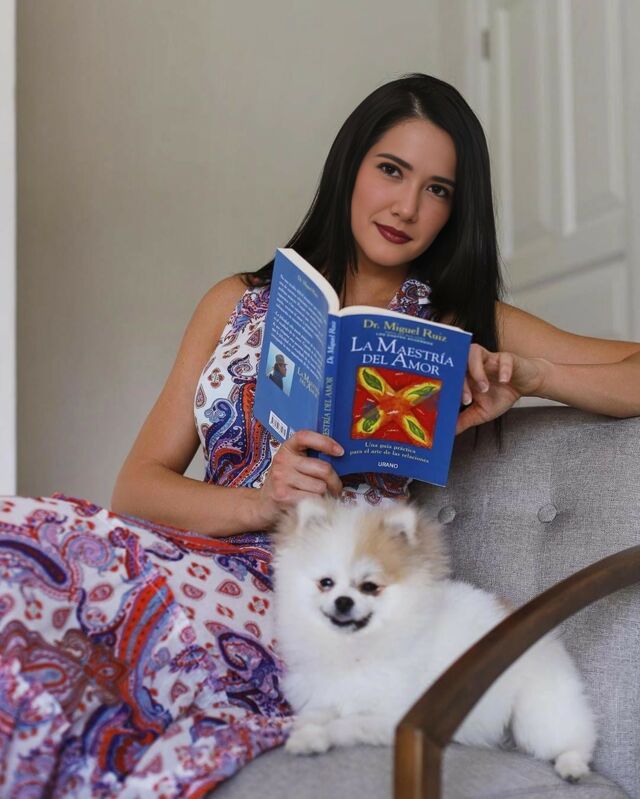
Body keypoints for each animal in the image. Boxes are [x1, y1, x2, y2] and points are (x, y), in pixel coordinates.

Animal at [273, 496, 596, 782]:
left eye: (370, 586)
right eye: (325, 583)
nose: (342, 601)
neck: (357, 646)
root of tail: (546, 638)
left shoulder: (391, 714)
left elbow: (346, 724)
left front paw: (318, 736)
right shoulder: (325, 693)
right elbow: (315, 714)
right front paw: (305, 735)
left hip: (536, 713)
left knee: (572, 738)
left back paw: (572, 766)